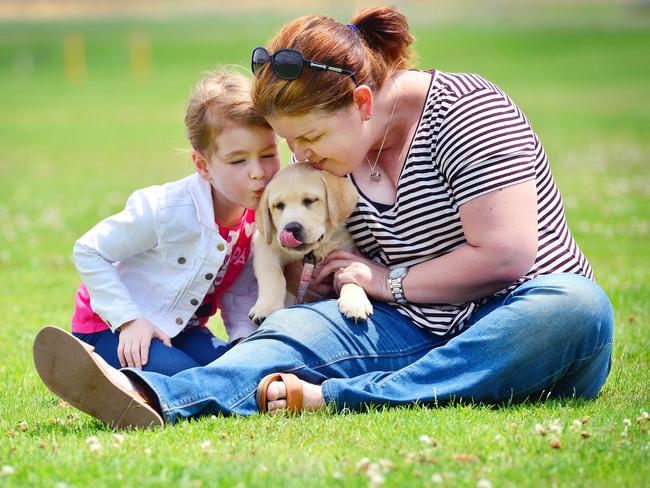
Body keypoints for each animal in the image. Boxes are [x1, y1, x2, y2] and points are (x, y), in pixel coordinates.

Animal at [247, 164, 370, 324]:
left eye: (309, 200)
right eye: (278, 206)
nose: (291, 227)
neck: (313, 252)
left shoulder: (344, 251)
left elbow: (350, 272)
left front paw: (355, 302)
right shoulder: (265, 246)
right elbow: (273, 275)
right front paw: (267, 307)